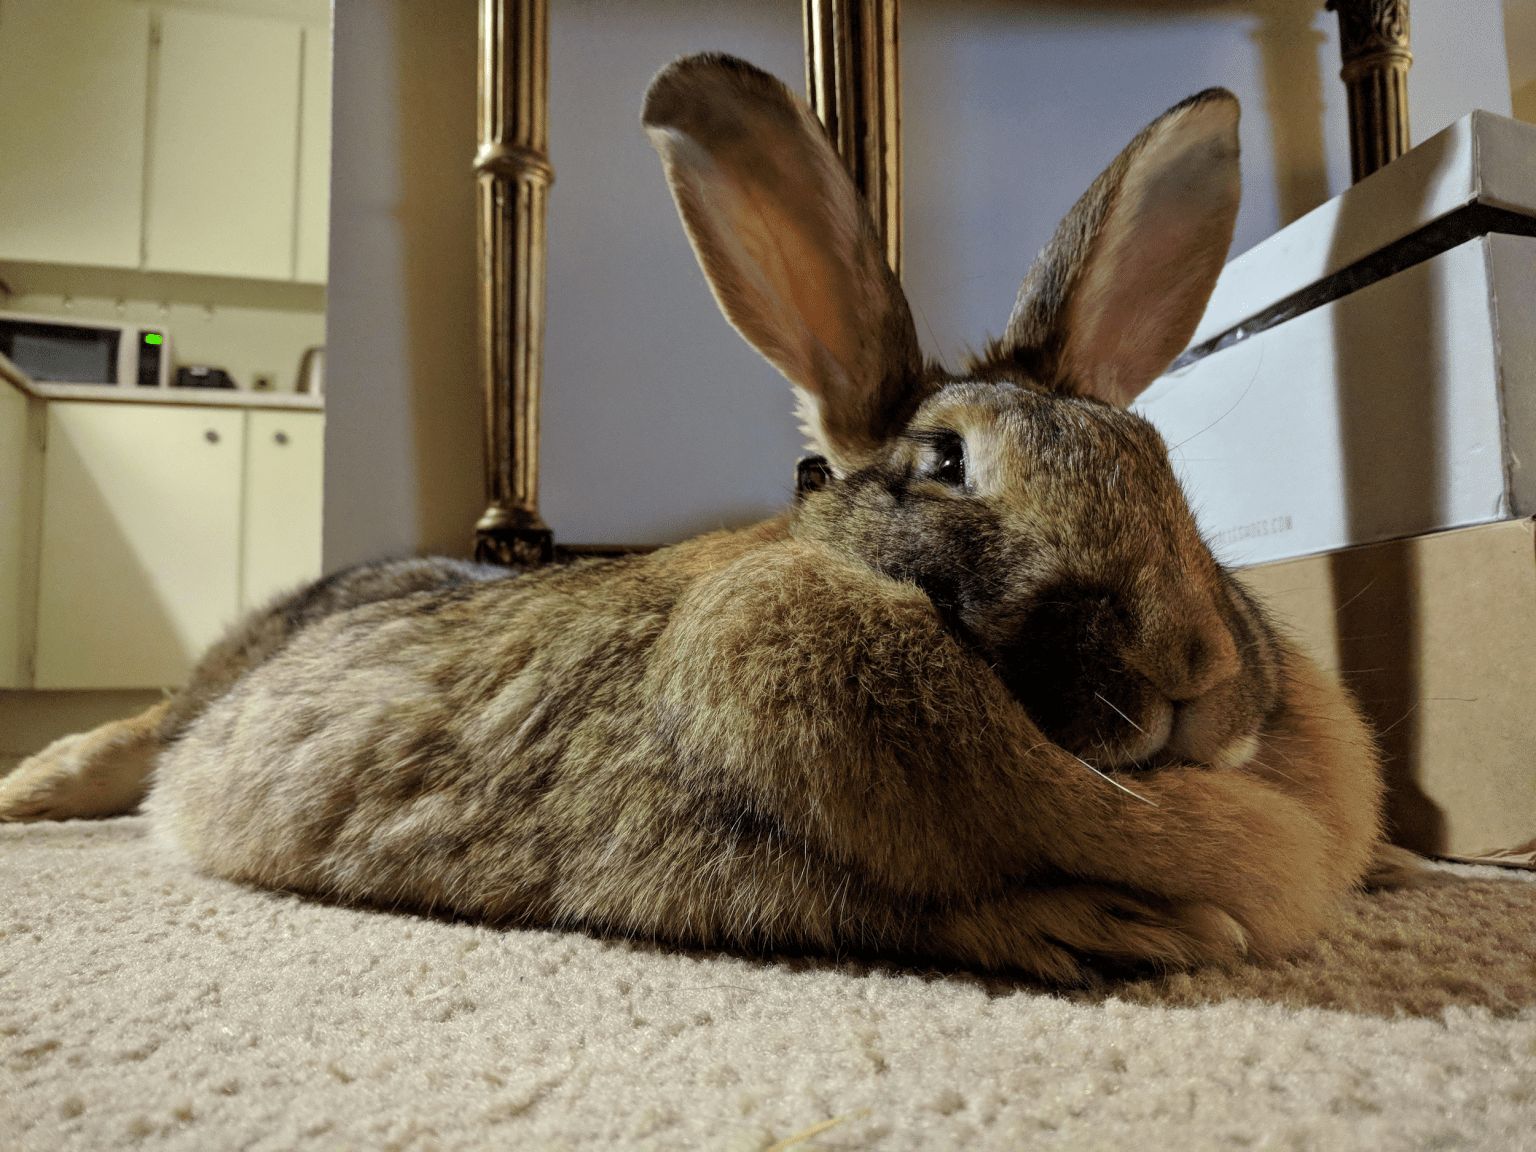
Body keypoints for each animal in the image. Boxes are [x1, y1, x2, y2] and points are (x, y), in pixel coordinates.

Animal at [0, 53, 1393, 983]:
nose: (1196, 670)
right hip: (193, 706)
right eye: (945, 463)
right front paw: (1124, 930)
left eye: (1156, 458)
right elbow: (923, 909)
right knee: (135, 737)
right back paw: (31, 793)